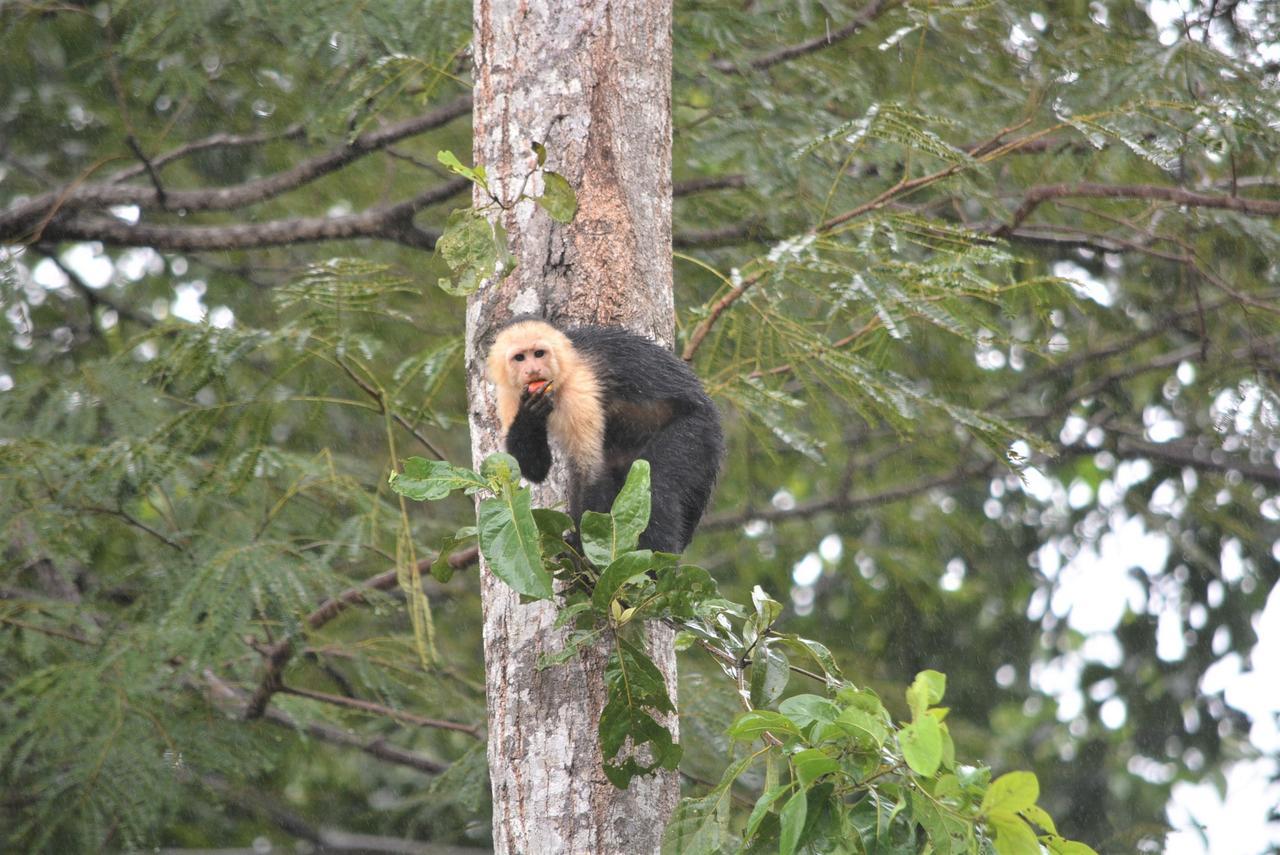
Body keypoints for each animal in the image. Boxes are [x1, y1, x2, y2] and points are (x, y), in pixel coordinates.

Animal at [486, 316, 727, 555]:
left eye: (538, 354)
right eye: (520, 358)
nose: (533, 370)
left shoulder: (579, 388)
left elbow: (590, 472)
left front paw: (581, 548)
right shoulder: (509, 395)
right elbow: (532, 468)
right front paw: (531, 413)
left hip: (697, 430)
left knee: (658, 488)